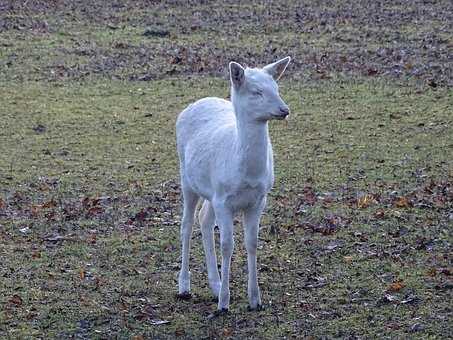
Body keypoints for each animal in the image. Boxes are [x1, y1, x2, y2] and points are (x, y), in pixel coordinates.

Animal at [175, 56, 292, 314]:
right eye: (256, 91)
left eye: (276, 88)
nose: (285, 110)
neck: (246, 174)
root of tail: (195, 103)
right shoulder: (224, 200)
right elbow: (227, 245)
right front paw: (224, 304)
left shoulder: (258, 199)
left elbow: (252, 243)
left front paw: (255, 300)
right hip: (187, 179)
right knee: (187, 224)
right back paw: (184, 286)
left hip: (211, 192)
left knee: (204, 219)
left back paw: (215, 284)